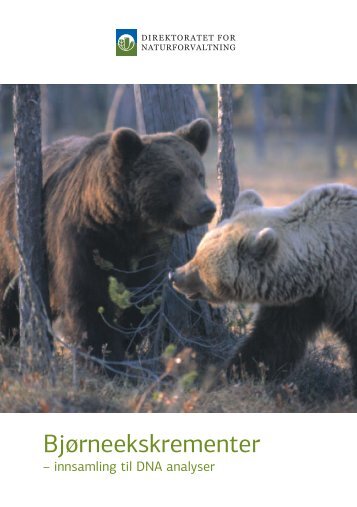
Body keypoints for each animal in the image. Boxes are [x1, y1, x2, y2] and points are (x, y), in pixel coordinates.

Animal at [0, 119, 214, 366]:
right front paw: (105, 357)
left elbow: (143, 296)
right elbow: (89, 298)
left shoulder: (149, 251)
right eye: (173, 178)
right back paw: (11, 340)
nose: (207, 207)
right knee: (8, 299)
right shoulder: (84, 240)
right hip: (11, 246)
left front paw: (126, 340)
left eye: (199, 174)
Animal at [169, 185, 356, 394]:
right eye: (196, 253)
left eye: (200, 266)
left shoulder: (344, 292)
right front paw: (230, 375)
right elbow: (273, 340)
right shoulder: (302, 301)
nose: (174, 276)